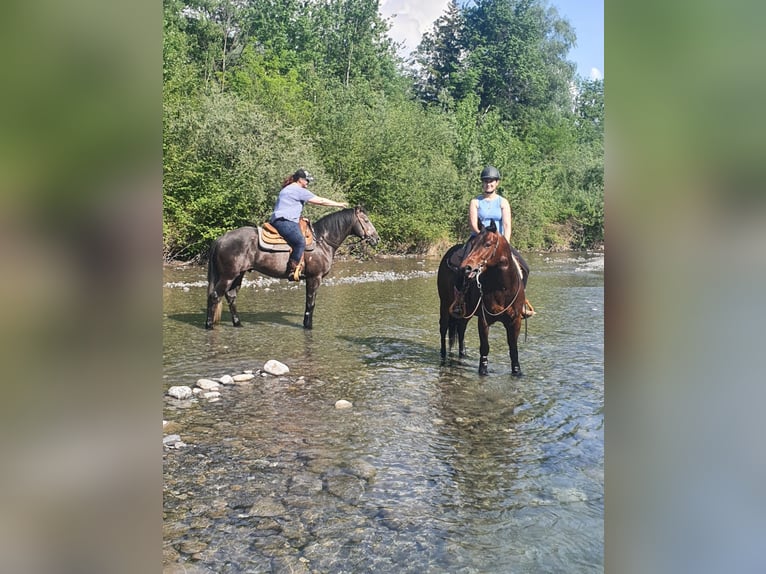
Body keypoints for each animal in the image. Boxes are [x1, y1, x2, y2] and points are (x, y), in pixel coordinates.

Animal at [205, 206, 379, 330]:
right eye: (366, 220)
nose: (376, 238)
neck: (322, 241)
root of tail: (220, 239)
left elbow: (308, 302)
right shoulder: (314, 278)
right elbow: (311, 303)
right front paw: (309, 326)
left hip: (238, 275)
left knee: (231, 297)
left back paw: (237, 323)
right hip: (228, 275)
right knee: (215, 296)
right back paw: (209, 326)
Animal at [444, 221, 526, 376]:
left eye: (488, 244)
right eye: (473, 243)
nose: (466, 268)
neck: (502, 288)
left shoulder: (515, 320)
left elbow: (513, 348)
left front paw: (517, 371)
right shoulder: (484, 320)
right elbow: (485, 346)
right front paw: (483, 369)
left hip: (465, 312)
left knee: (461, 329)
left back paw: (463, 354)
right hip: (444, 306)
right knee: (443, 329)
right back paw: (443, 355)